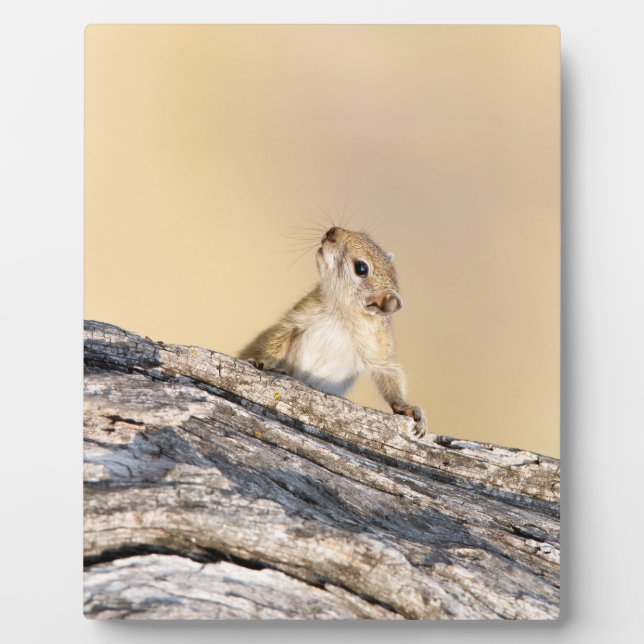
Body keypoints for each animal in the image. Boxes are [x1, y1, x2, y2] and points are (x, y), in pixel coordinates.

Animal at [239, 226, 428, 438]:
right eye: (364, 235)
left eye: (361, 268)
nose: (332, 232)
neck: (341, 313)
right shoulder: (296, 319)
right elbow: (275, 339)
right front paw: (263, 362)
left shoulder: (377, 348)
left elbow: (389, 373)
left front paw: (408, 408)